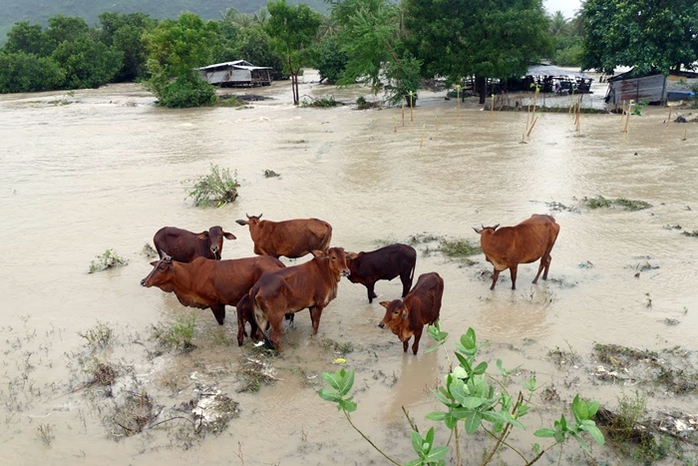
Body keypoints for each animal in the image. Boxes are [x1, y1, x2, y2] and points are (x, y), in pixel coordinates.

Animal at [140, 255, 284, 324]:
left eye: (162, 267)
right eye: (155, 266)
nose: (143, 281)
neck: (190, 276)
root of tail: (278, 263)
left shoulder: (215, 303)